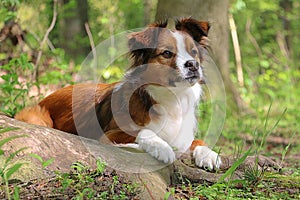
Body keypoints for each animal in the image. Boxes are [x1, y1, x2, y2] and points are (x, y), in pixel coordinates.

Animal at [15, 17, 220, 170]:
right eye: (167, 53)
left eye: (193, 52)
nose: (193, 65)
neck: (171, 97)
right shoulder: (109, 133)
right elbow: (143, 132)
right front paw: (162, 147)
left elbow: (197, 140)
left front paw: (209, 154)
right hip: (39, 117)